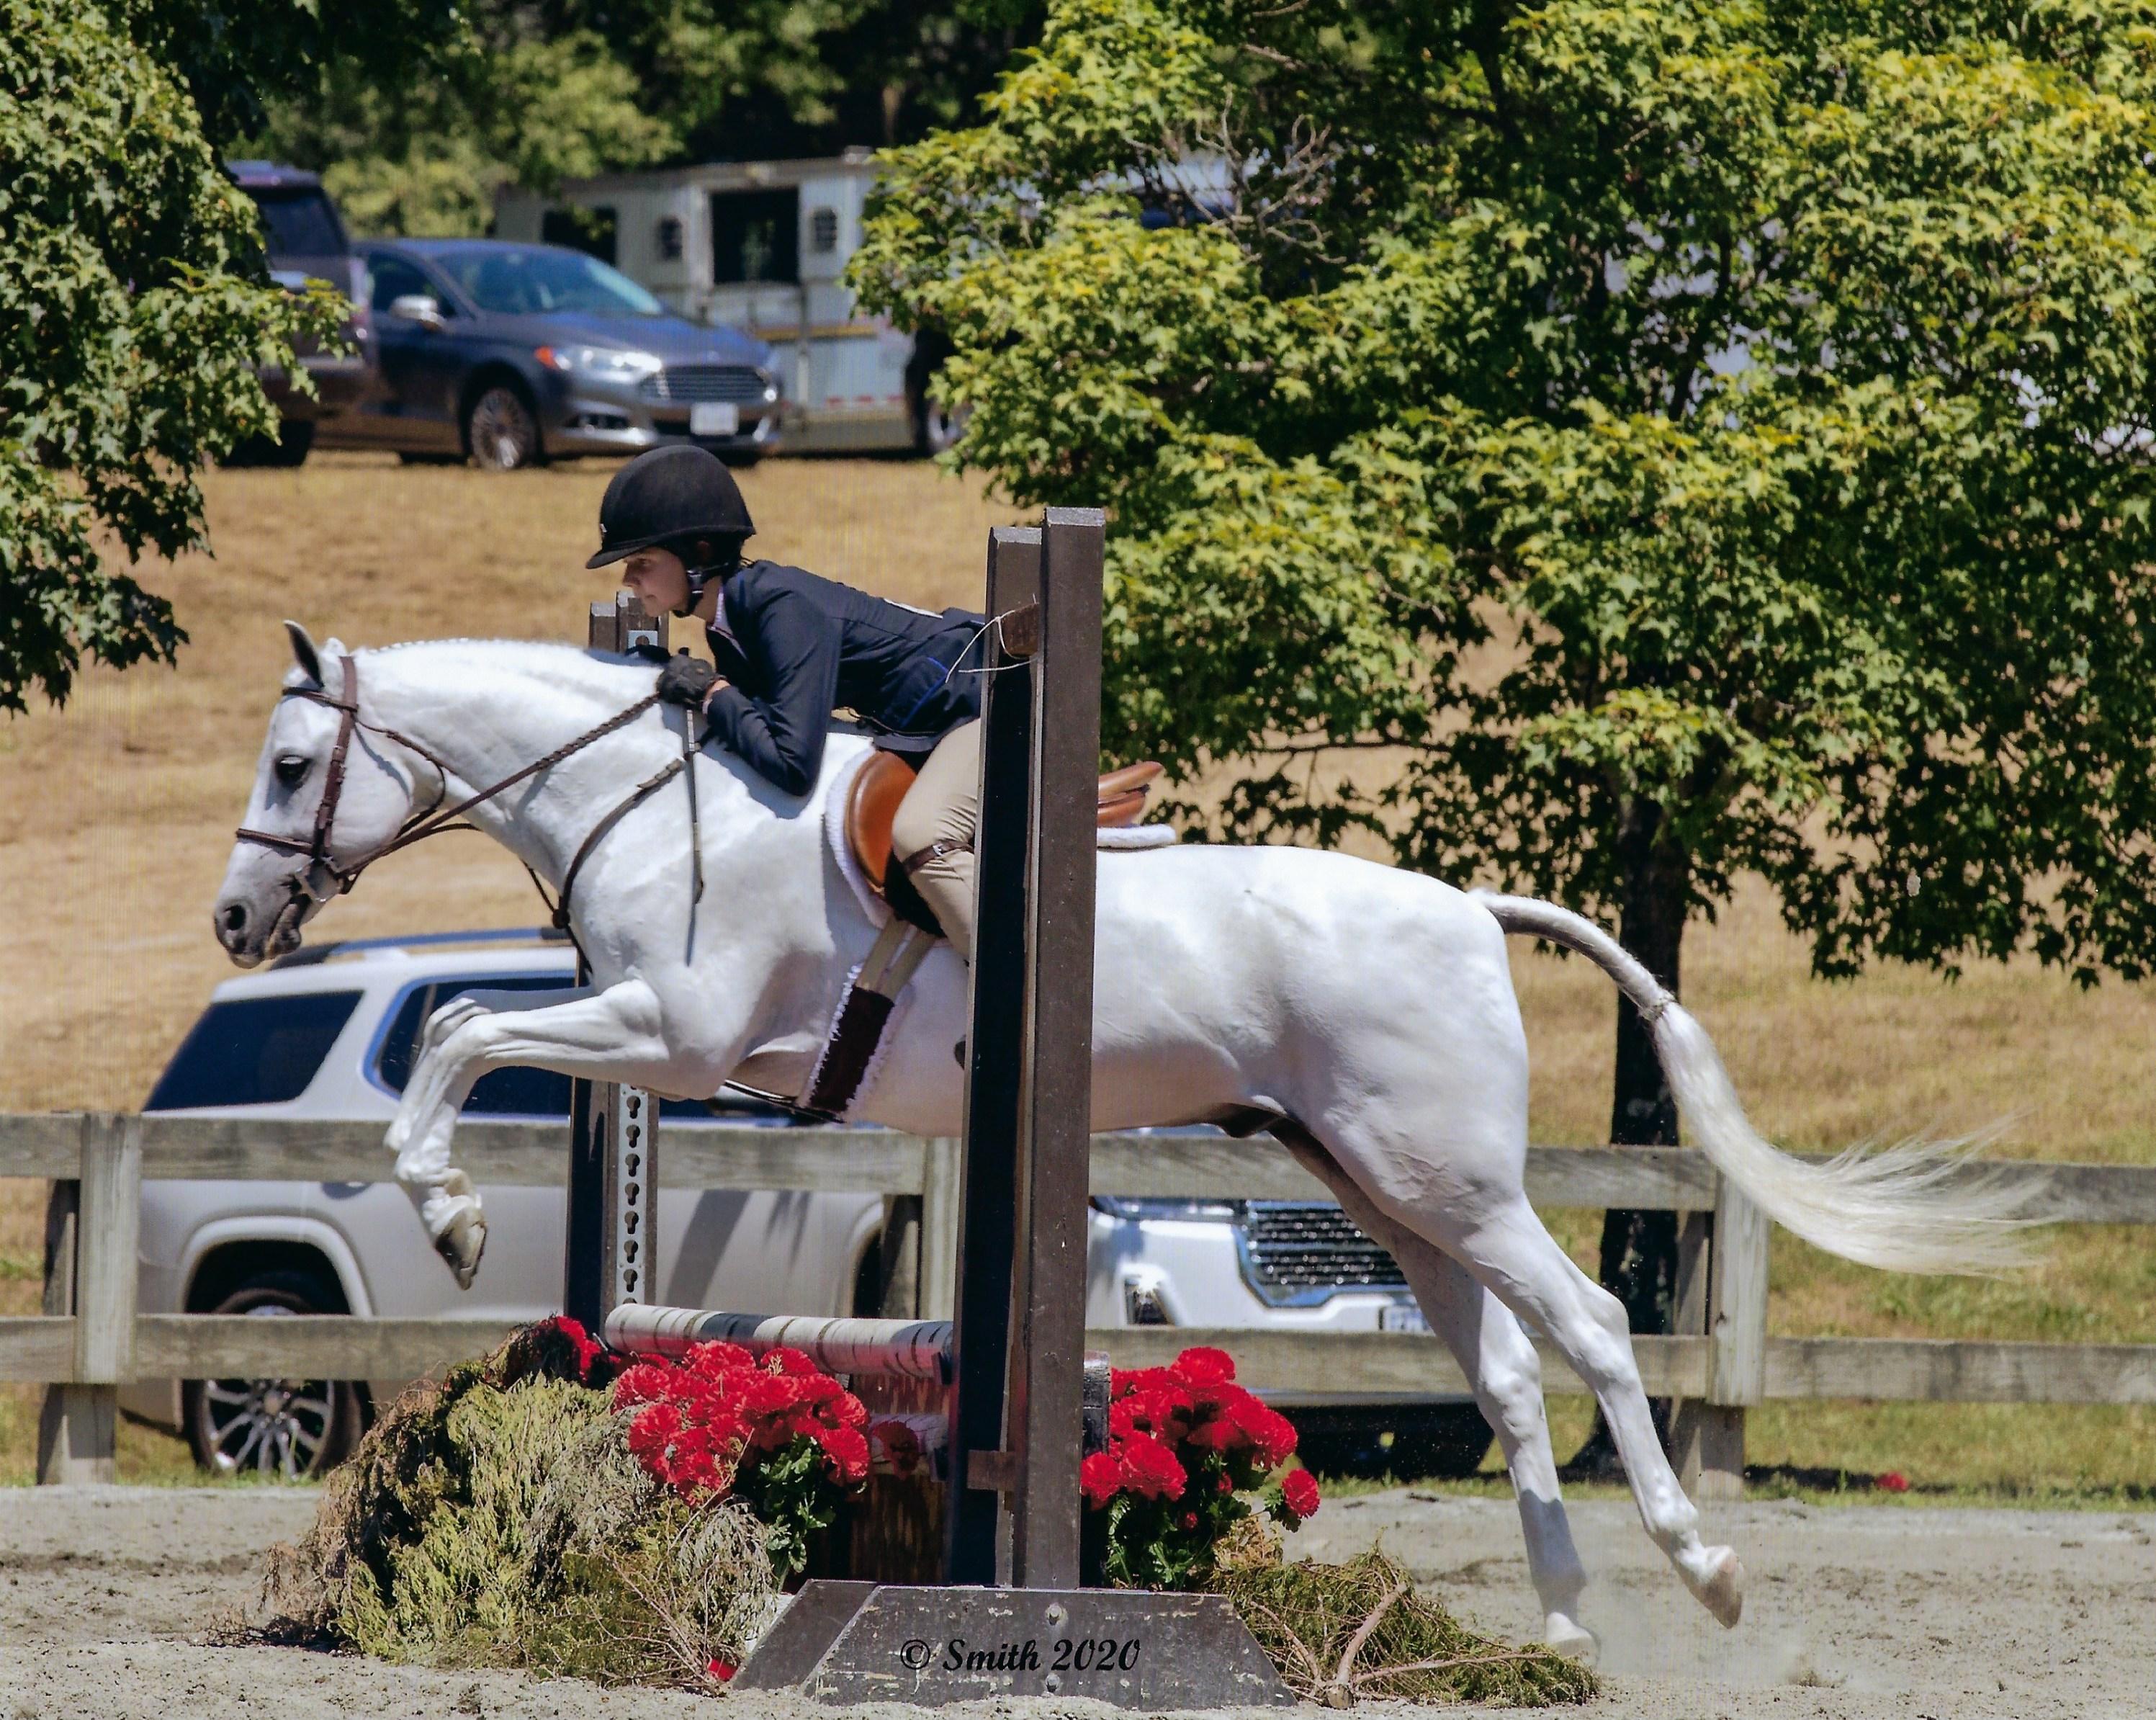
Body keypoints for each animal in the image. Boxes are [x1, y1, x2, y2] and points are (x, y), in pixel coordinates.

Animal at [212, 627, 2023, 1657]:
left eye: (295, 761)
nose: (236, 922)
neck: (661, 806)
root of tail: (1463, 903)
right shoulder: (653, 1036)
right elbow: (463, 1023)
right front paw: (451, 1209)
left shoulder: (680, 1033)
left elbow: (458, 1032)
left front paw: (448, 1214)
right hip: (1382, 1184)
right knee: (1509, 1373)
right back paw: (1567, 1626)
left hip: (1441, 1176)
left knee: (1582, 1326)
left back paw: (1698, 1568)